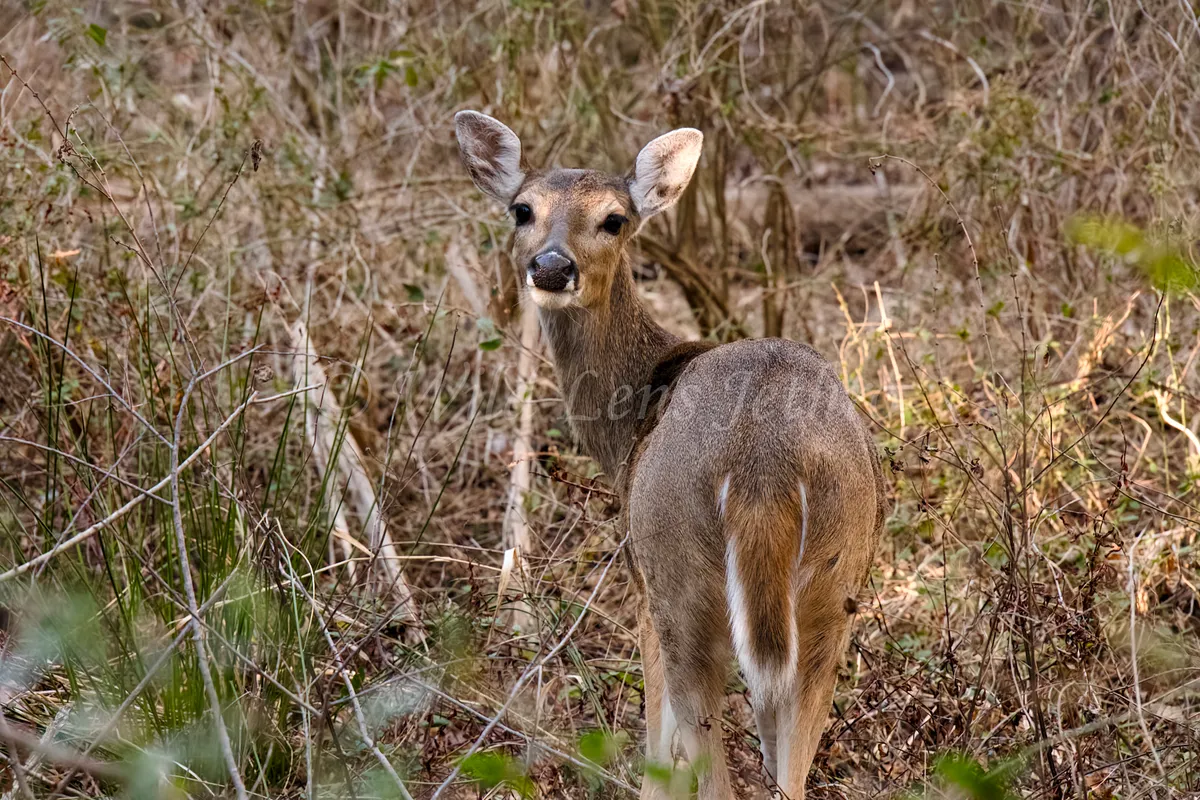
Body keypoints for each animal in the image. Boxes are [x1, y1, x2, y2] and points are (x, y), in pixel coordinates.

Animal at [455, 111, 887, 800]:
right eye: (522, 209)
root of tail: (763, 464)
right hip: (837, 584)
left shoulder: (640, 584)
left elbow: (656, 750)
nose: (550, 266)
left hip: (677, 577)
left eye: (614, 219)